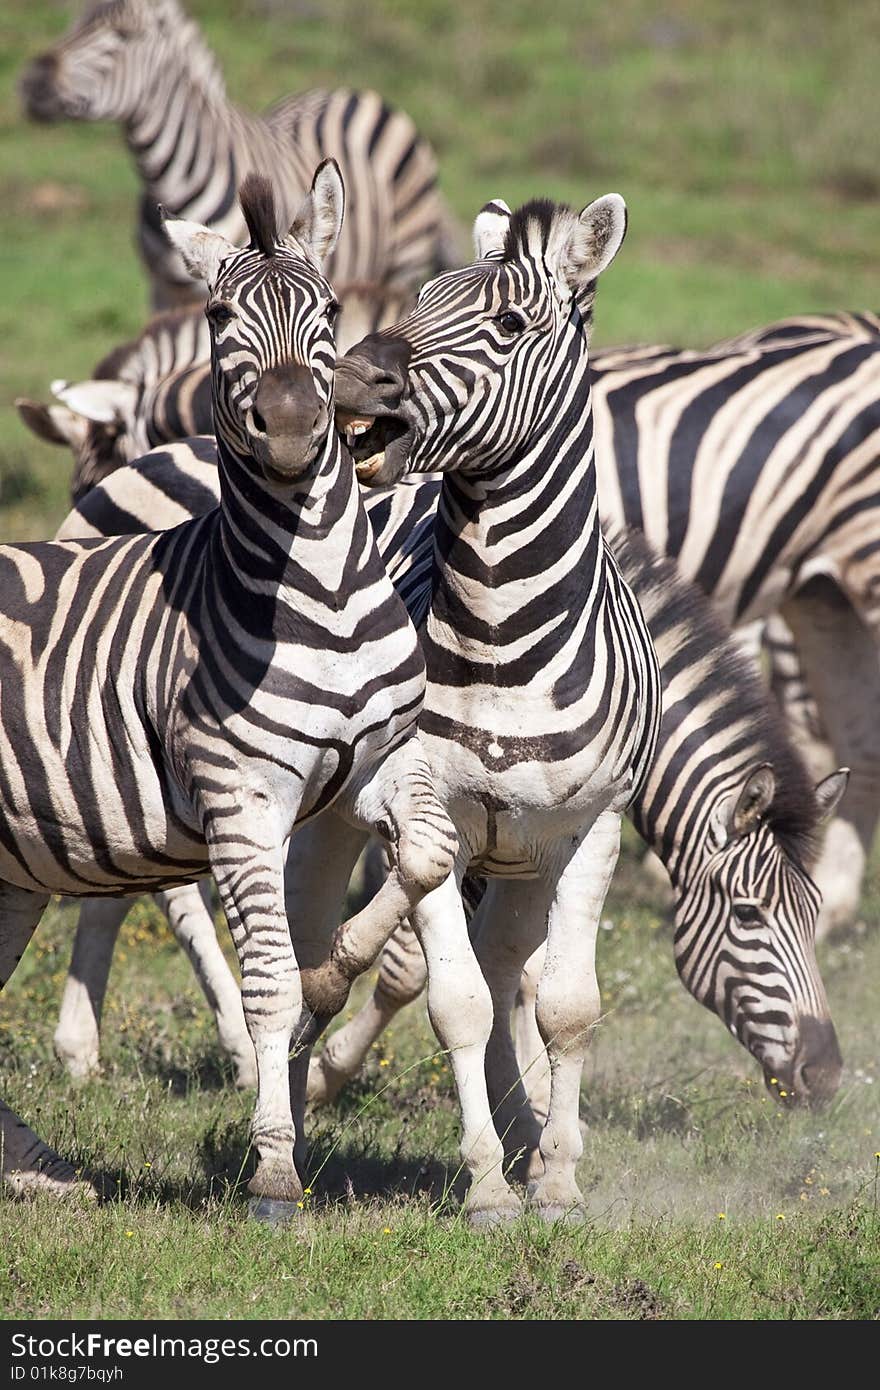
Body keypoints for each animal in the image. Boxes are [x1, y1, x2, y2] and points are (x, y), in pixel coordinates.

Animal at [0, 165, 455, 1217]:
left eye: (327, 311)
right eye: (217, 315)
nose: (290, 428)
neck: (321, 592)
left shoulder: (379, 767)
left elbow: (425, 861)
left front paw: (335, 970)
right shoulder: (241, 798)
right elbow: (268, 983)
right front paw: (277, 1170)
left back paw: (35, 1169)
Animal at [20, 0, 458, 309]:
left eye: (124, 34)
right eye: (73, 23)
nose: (32, 82)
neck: (168, 178)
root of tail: (353, 92)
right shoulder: (162, 292)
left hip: (402, 264)